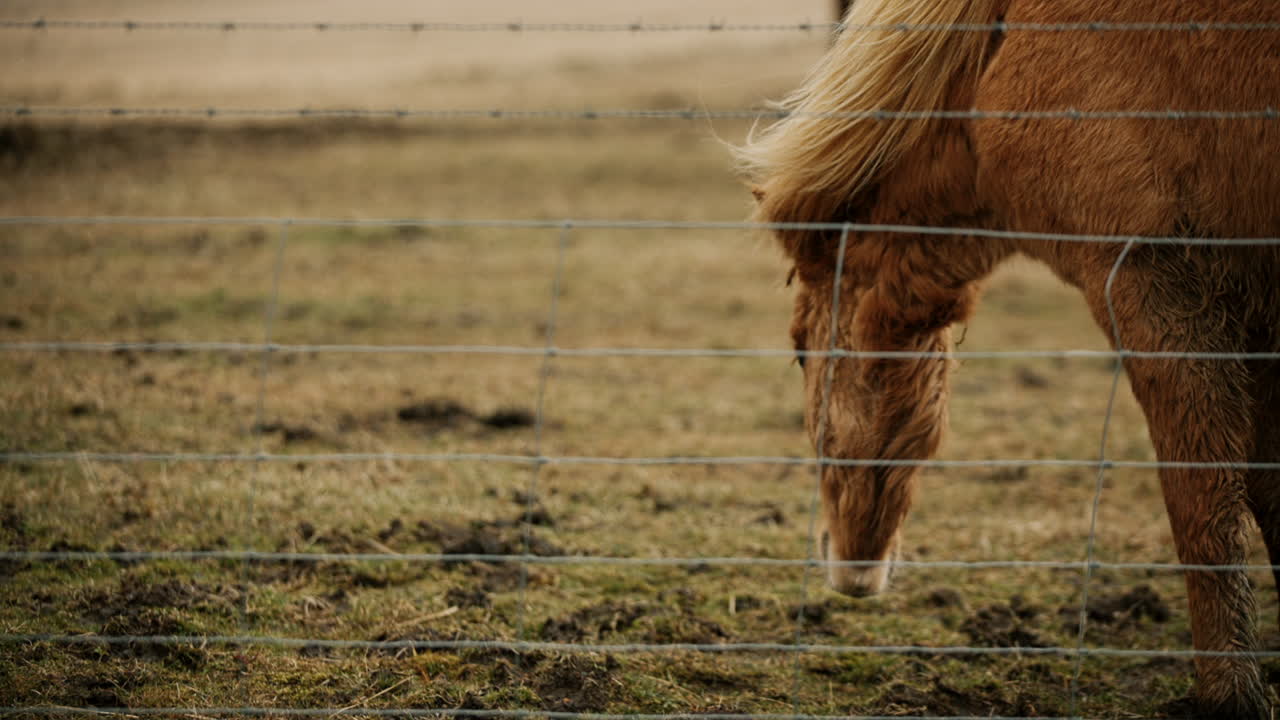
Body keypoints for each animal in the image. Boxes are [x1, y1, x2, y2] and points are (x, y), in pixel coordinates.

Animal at [738, 0, 1280, 717]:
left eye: (801, 355)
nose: (848, 568)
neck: (999, 50)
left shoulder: (1152, 279)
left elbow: (1203, 500)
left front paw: (1230, 697)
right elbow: (1267, 492)